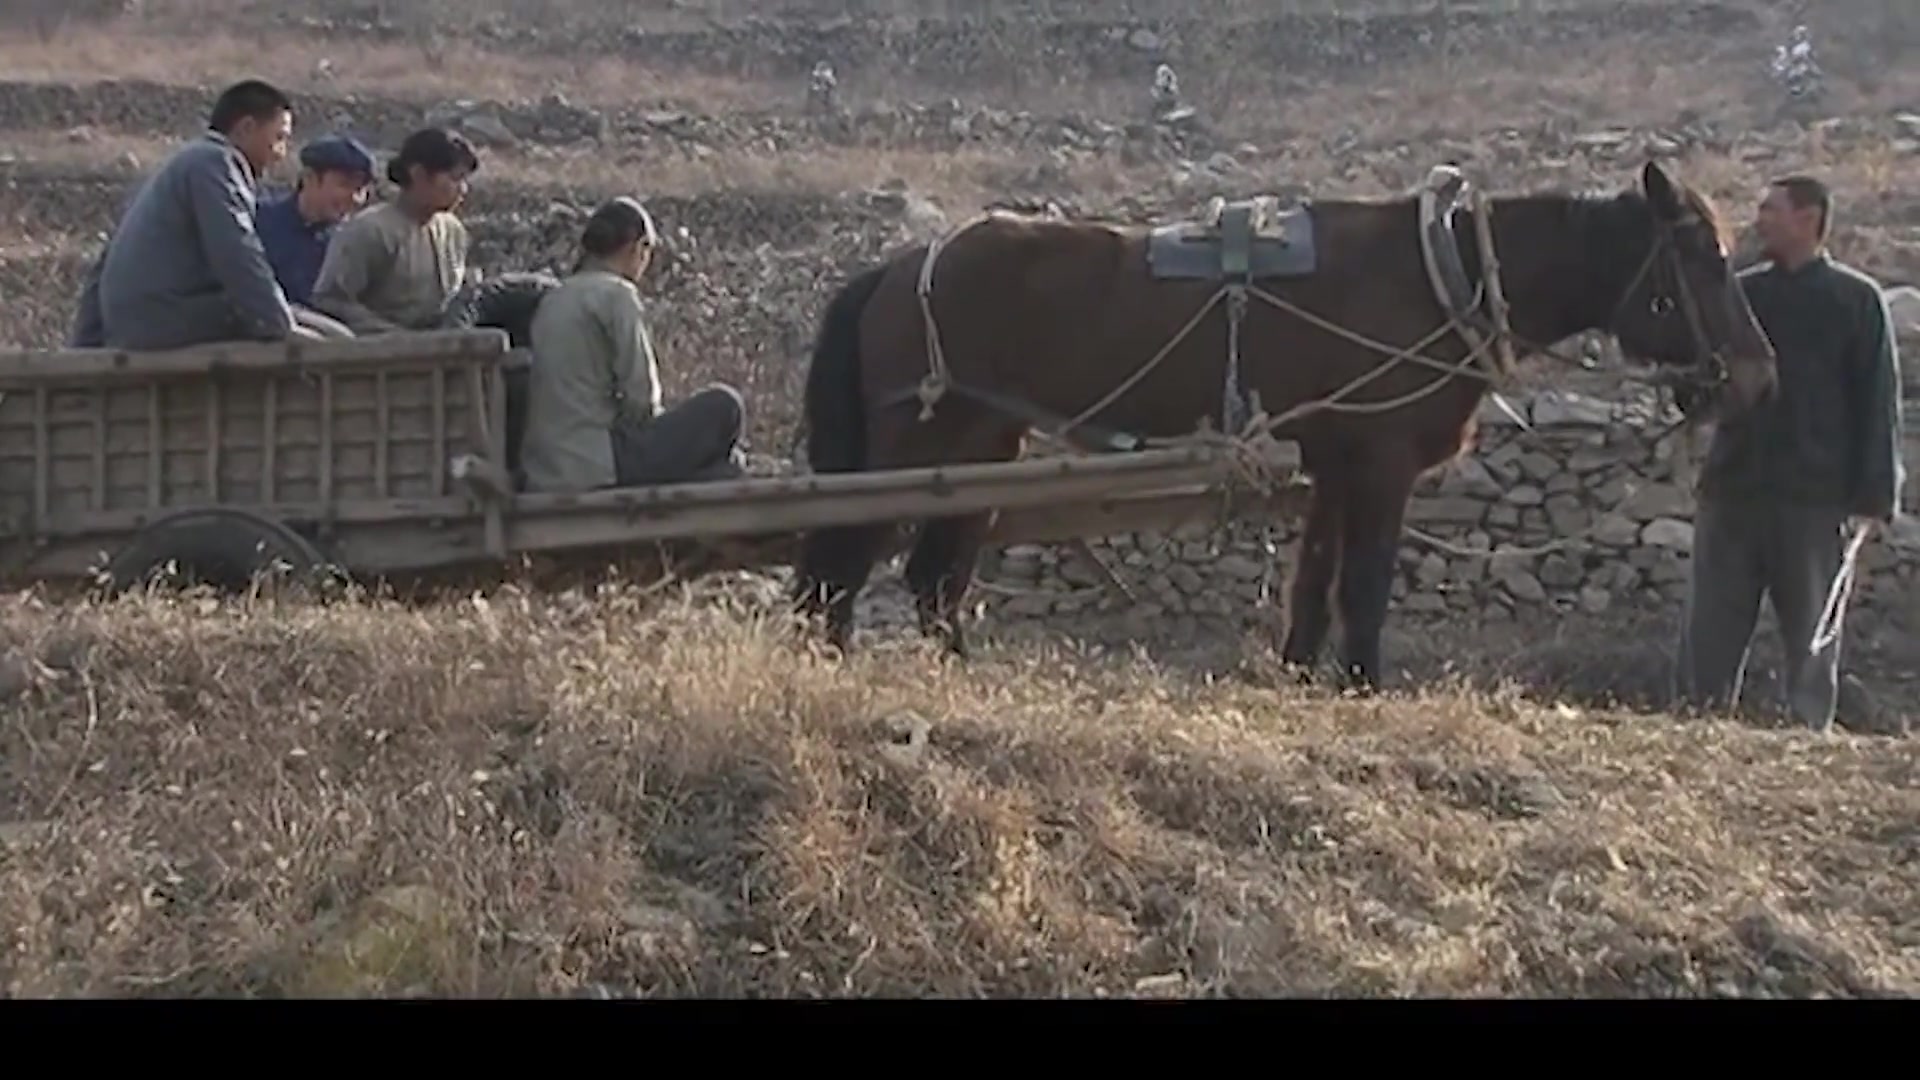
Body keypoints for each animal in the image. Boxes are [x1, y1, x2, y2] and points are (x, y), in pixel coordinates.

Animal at [787, 156, 1774, 684]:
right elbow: (1365, 581)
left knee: (931, 575)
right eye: (1703, 255)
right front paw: (1363, 685)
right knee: (844, 560)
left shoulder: (1335, 461)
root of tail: (898, 265)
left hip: (983, 446)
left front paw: (1302, 673)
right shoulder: (1381, 461)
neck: (1442, 276)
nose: (1759, 378)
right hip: (911, 444)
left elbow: (1316, 578)